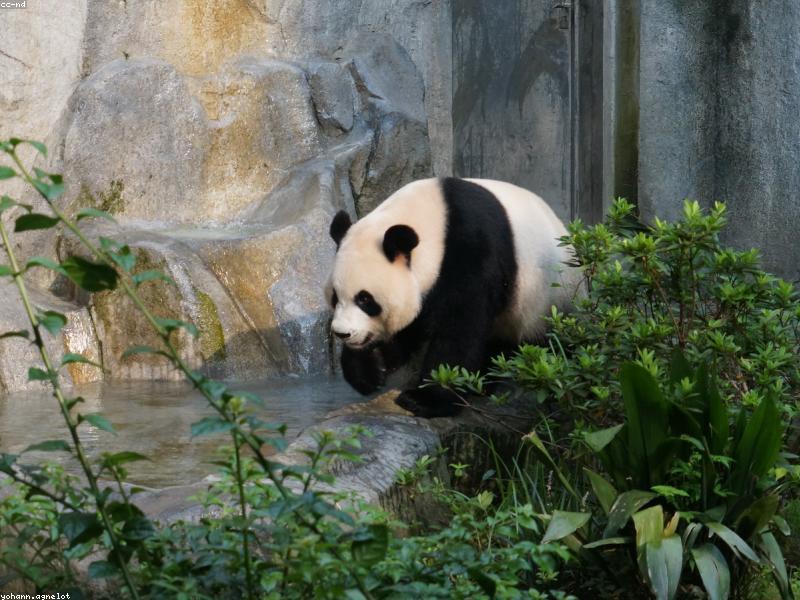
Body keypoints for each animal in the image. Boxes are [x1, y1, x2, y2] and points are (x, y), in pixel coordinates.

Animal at [327, 177, 581, 418]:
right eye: (335, 297)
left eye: (365, 300)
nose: (342, 333)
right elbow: (409, 327)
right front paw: (370, 370)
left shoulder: (472, 252)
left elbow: (459, 329)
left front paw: (424, 400)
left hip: (547, 302)